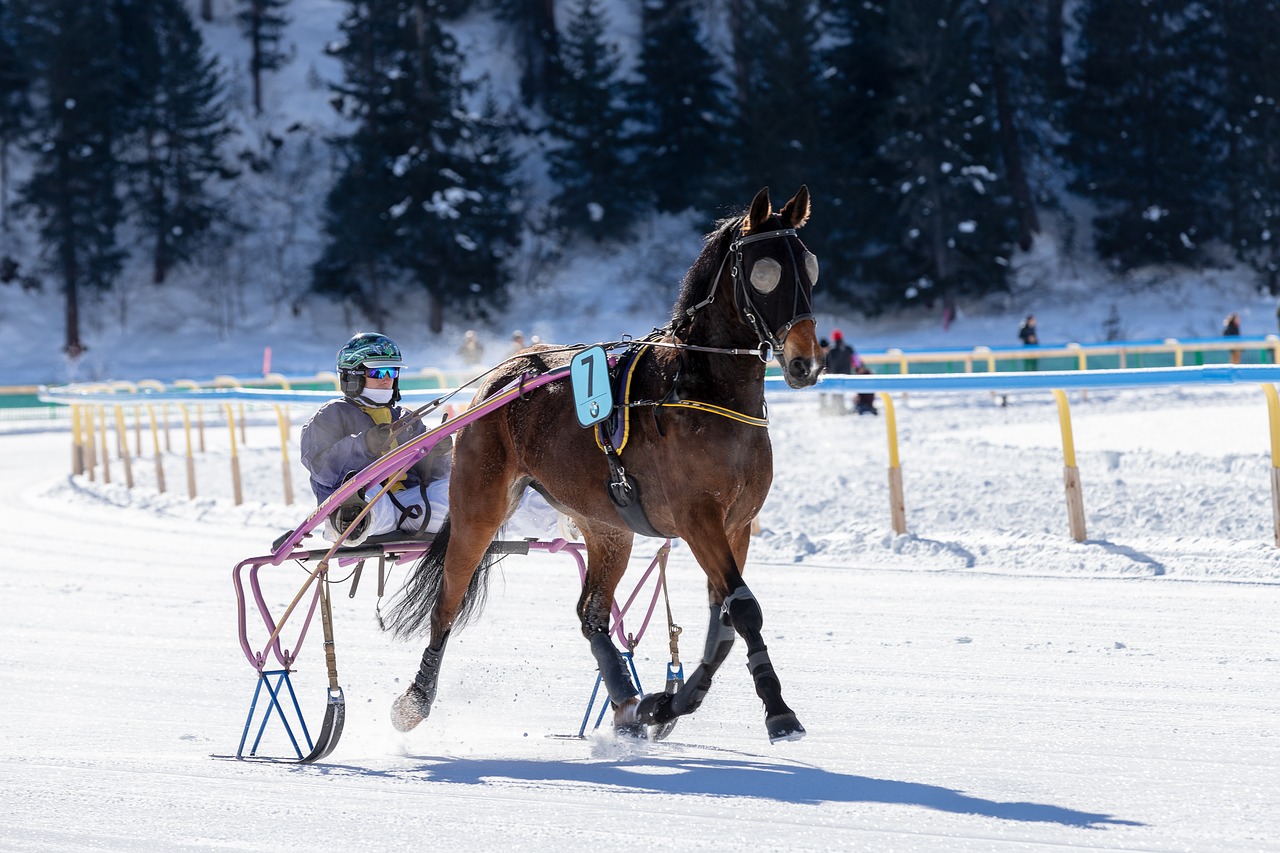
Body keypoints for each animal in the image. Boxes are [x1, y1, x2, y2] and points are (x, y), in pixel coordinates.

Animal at [384, 184, 819, 737]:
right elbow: (744, 611)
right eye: (765, 272)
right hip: (478, 505)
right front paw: (778, 710)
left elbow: (721, 624)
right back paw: (415, 699)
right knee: (448, 601)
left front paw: (668, 703)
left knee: (590, 614)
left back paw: (628, 702)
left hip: (607, 526)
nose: (806, 362)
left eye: (809, 266)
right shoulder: (698, 519)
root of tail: (506, 374)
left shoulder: (737, 524)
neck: (700, 387)